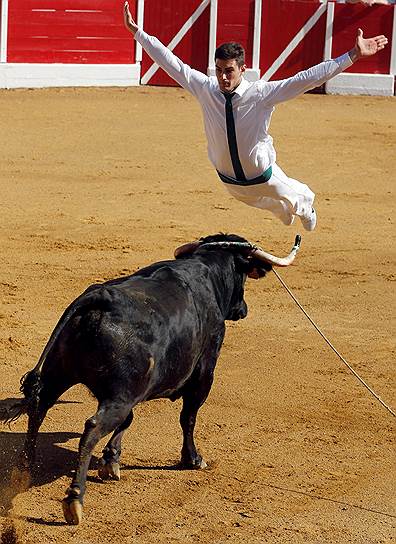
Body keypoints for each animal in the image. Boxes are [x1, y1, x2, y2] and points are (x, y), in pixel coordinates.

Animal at [6, 232, 300, 524]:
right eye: (243, 277)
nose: (243, 309)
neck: (207, 269)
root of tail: (100, 298)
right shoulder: (203, 373)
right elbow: (188, 417)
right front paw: (193, 459)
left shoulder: (136, 390)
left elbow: (129, 421)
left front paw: (111, 461)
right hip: (118, 396)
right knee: (91, 429)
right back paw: (74, 499)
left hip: (61, 375)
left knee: (39, 409)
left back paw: (25, 467)